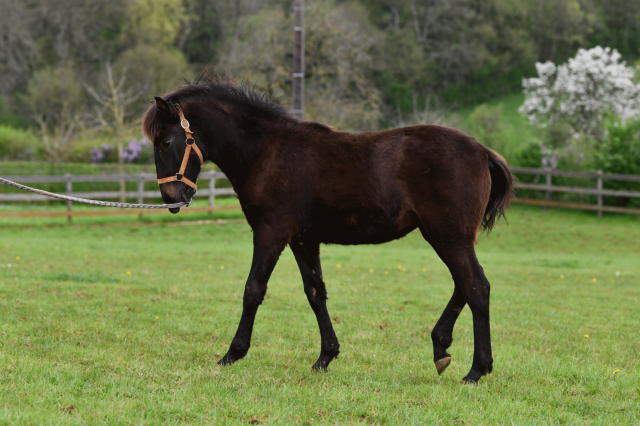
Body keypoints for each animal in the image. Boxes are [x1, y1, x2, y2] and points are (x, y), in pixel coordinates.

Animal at [142, 75, 512, 384]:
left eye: (165, 142)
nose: (171, 198)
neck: (265, 151)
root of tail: (483, 152)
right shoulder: (303, 239)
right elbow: (315, 293)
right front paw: (325, 357)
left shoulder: (270, 232)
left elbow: (253, 290)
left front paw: (232, 353)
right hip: (448, 237)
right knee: (464, 285)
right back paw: (441, 348)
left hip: (448, 236)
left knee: (476, 287)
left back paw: (476, 370)